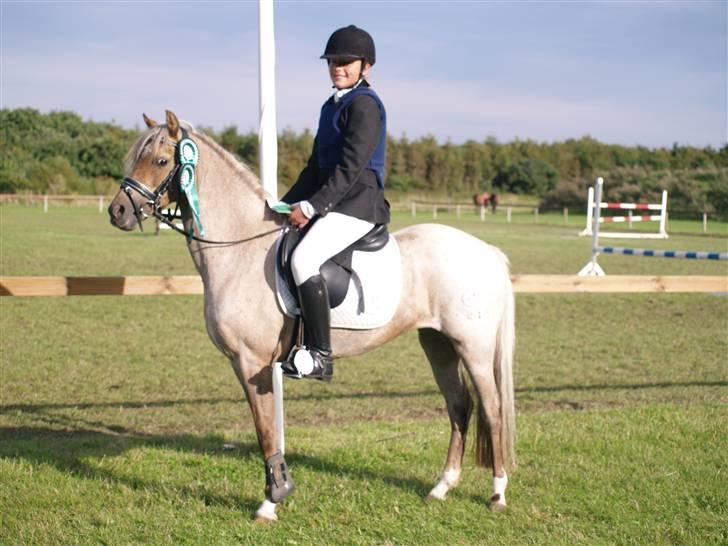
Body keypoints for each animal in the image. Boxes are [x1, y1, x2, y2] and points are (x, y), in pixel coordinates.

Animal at [108, 110, 516, 523]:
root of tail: (488, 251)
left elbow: (265, 429)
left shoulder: (251, 362)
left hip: (473, 347)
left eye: (161, 161)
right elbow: (269, 428)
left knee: (493, 409)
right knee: (459, 406)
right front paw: (278, 493)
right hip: (438, 344)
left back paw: (497, 493)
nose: (118, 211)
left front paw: (271, 501)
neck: (241, 249)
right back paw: (442, 487)